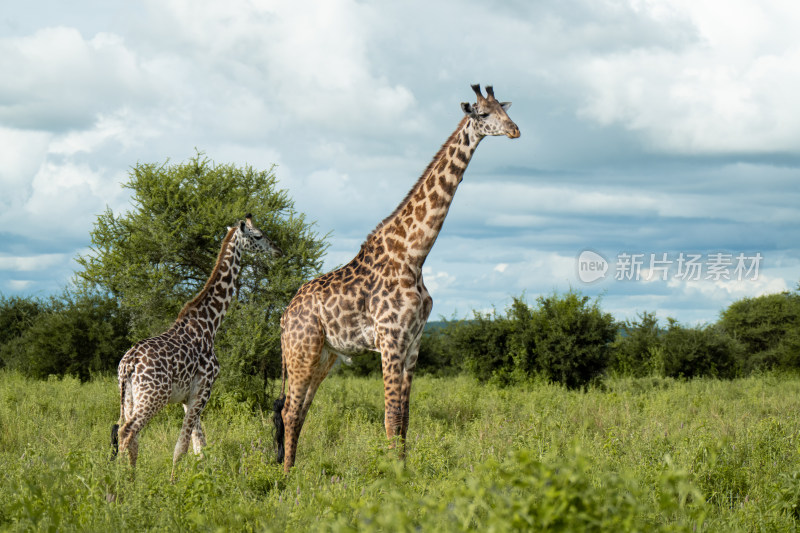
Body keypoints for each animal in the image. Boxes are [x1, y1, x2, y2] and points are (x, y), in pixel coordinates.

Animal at [111, 214, 282, 480]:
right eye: (258, 235)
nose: (278, 251)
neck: (209, 323)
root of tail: (129, 364)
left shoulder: (188, 396)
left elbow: (199, 444)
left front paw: (204, 478)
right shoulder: (204, 388)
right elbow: (184, 446)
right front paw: (174, 481)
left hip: (128, 396)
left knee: (126, 433)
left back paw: (129, 478)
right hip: (153, 397)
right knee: (127, 431)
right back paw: (124, 480)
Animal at [276, 83, 520, 470]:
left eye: (505, 110)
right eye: (483, 114)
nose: (515, 130)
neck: (414, 255)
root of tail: (285, 315)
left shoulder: (413, 342)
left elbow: (405, 417)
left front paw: (404, 470)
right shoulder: (390, 339)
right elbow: (390, 416)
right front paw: (392, 475)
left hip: (324, 355)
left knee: (299, 409)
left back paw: (294, 470)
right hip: (301, 349)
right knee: (289, 410)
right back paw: (285, 475)